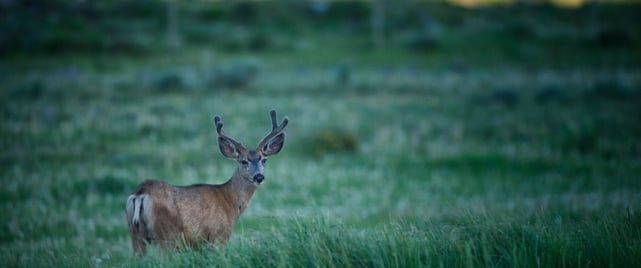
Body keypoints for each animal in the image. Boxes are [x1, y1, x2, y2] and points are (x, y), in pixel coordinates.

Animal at [124, 109, 288, 255]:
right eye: (243, 161)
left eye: (264, 160)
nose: (259, 177)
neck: (230, 202)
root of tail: (140, 193)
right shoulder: (218, 236)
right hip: (166, 235)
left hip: (135, 235)